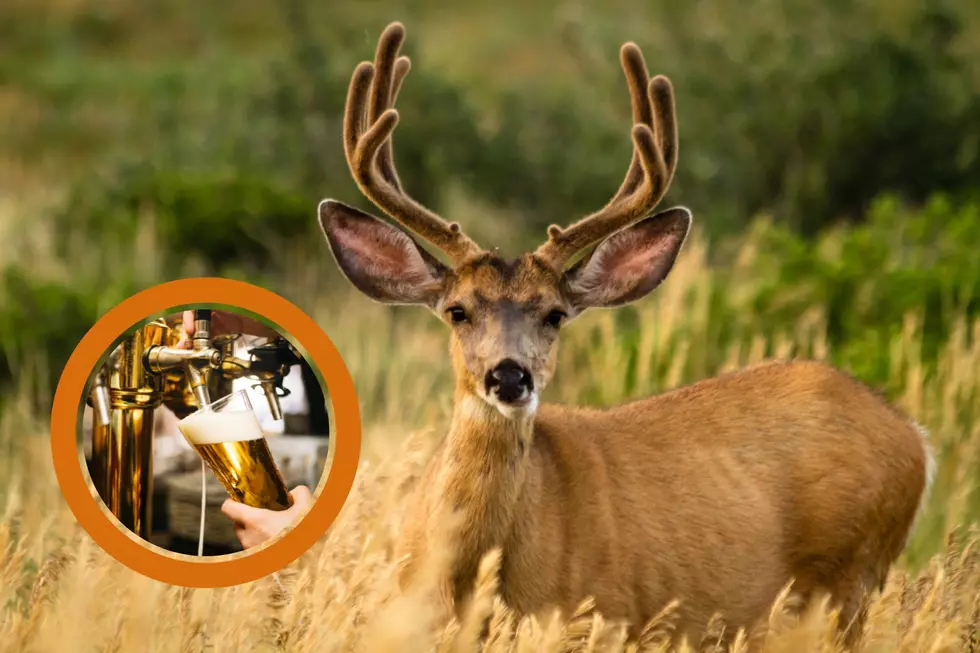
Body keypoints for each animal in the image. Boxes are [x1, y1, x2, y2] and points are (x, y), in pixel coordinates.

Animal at [315, 21, 935, 649]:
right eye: (457, 310)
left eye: (554, 314)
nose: (509, 377)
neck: (471, 574)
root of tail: (914, 436)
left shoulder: (596, 615)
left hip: (846, 579)